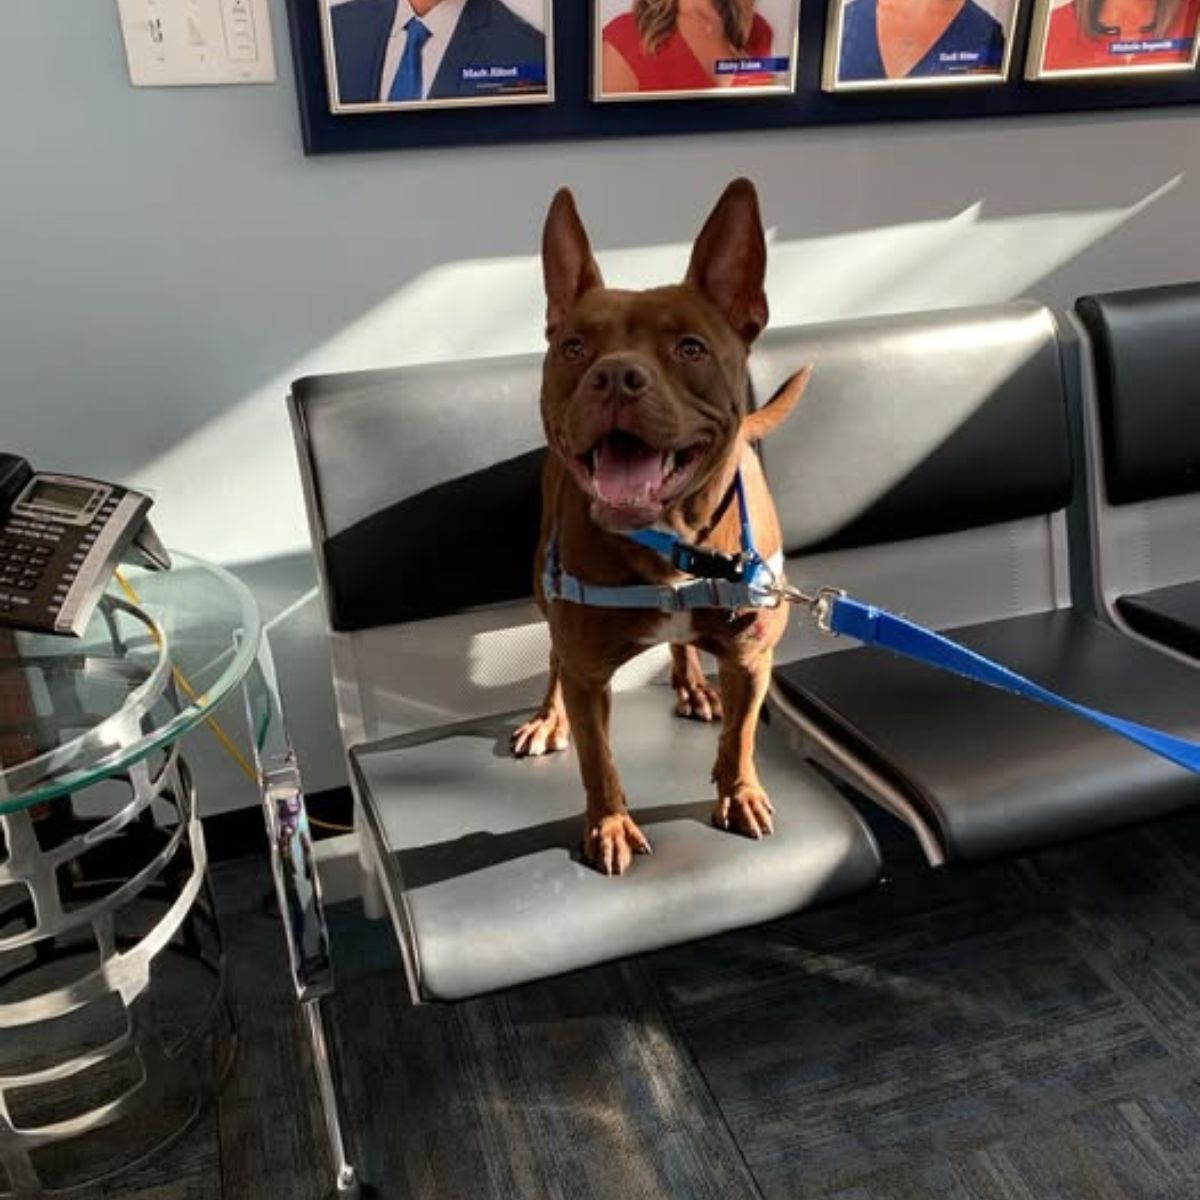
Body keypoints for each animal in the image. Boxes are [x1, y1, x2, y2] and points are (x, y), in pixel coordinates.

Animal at [511, 175, 811, 873]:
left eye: (690, 347)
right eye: (574, 347)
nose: (616, 375)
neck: (673, 544)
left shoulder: (752, 658)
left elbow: (740, 736)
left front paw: (739, 792)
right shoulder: (590, 672)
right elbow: (599, 760)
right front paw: (610, 824)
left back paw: (693, 683)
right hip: (542, 583)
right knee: (553, 656)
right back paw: (548, 716)